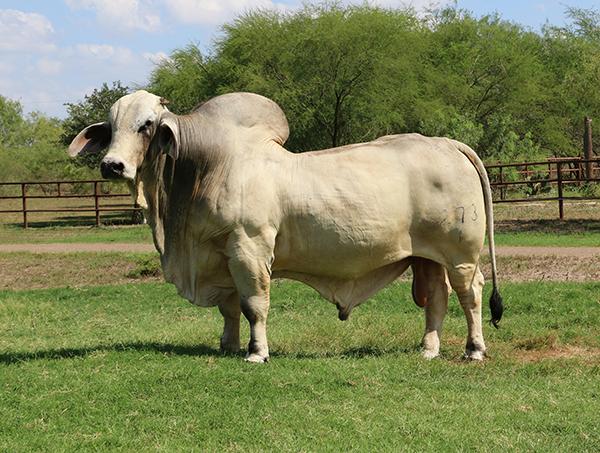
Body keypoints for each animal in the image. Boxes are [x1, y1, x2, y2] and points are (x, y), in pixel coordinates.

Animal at [68, 90, 504, 362]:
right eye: (111, 127)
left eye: (146, 124)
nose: (112, 165)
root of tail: (448, 143)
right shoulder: (221, 254)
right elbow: (229, 308)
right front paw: (228, 344)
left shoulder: (249, 248)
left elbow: (253, 305)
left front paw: (256, 352)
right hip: (426, 256)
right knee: (437, 298)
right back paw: (428, 349)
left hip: (461, 254)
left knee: (471, 295)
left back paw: (474, 349)